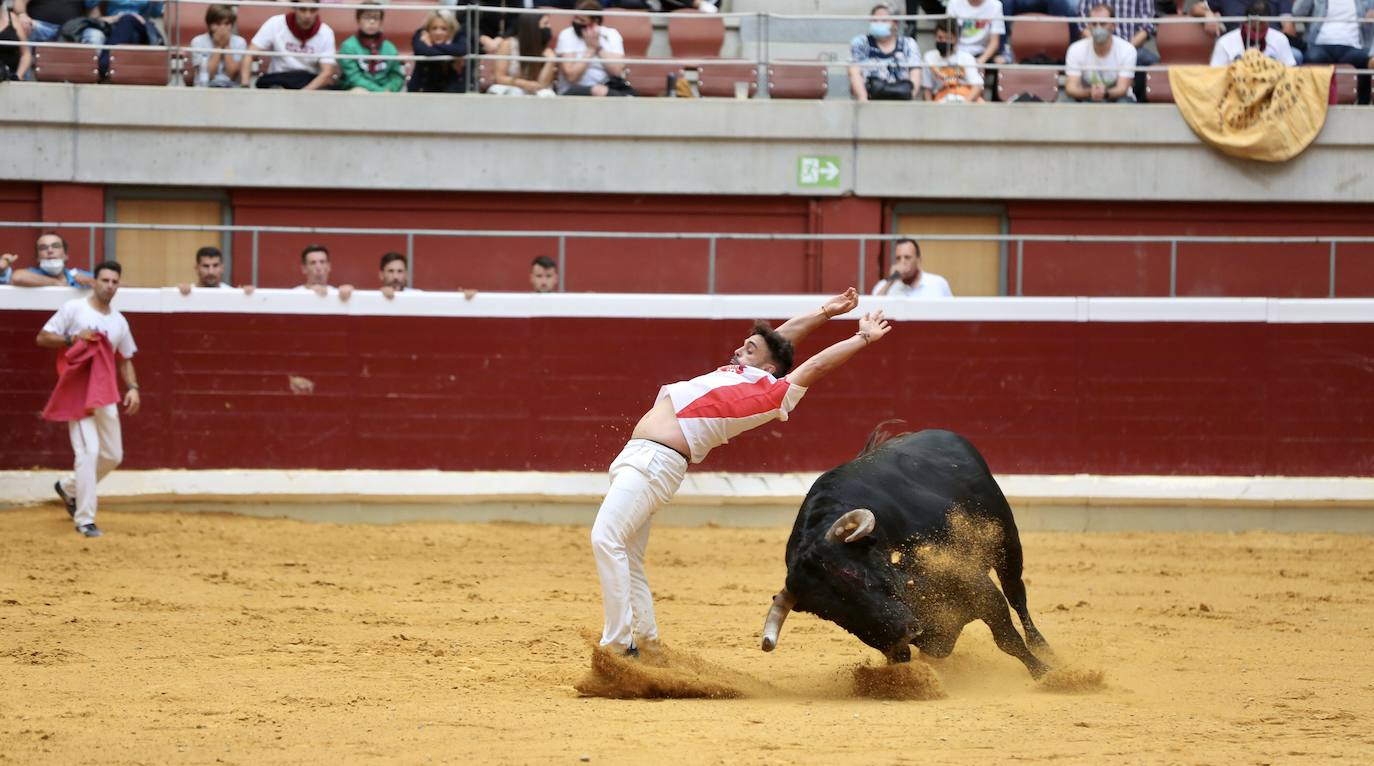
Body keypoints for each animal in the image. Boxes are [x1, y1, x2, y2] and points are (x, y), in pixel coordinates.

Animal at [763, 426, 1049, 679]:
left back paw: (1044, 648)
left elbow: (1006, 638)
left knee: (1016, 595)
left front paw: (1046, 674)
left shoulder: (973, 579)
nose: (904, 630)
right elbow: (901, 655)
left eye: (854, 574)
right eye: (831, 614)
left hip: (1007, 542)